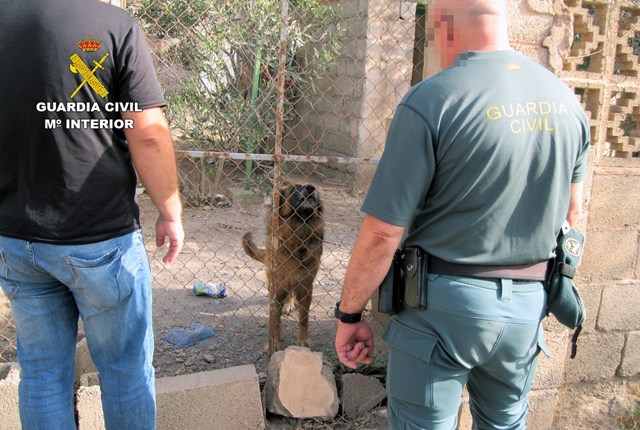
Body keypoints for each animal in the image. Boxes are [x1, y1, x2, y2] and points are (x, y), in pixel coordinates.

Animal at [241, 183, 324, 352]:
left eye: (313, 188)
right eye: (295, 188)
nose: (311, 187)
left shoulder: (305, 284)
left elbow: (304, 317)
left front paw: (303, 340)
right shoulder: (277, 287)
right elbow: (275, 319)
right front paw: (273, 343)